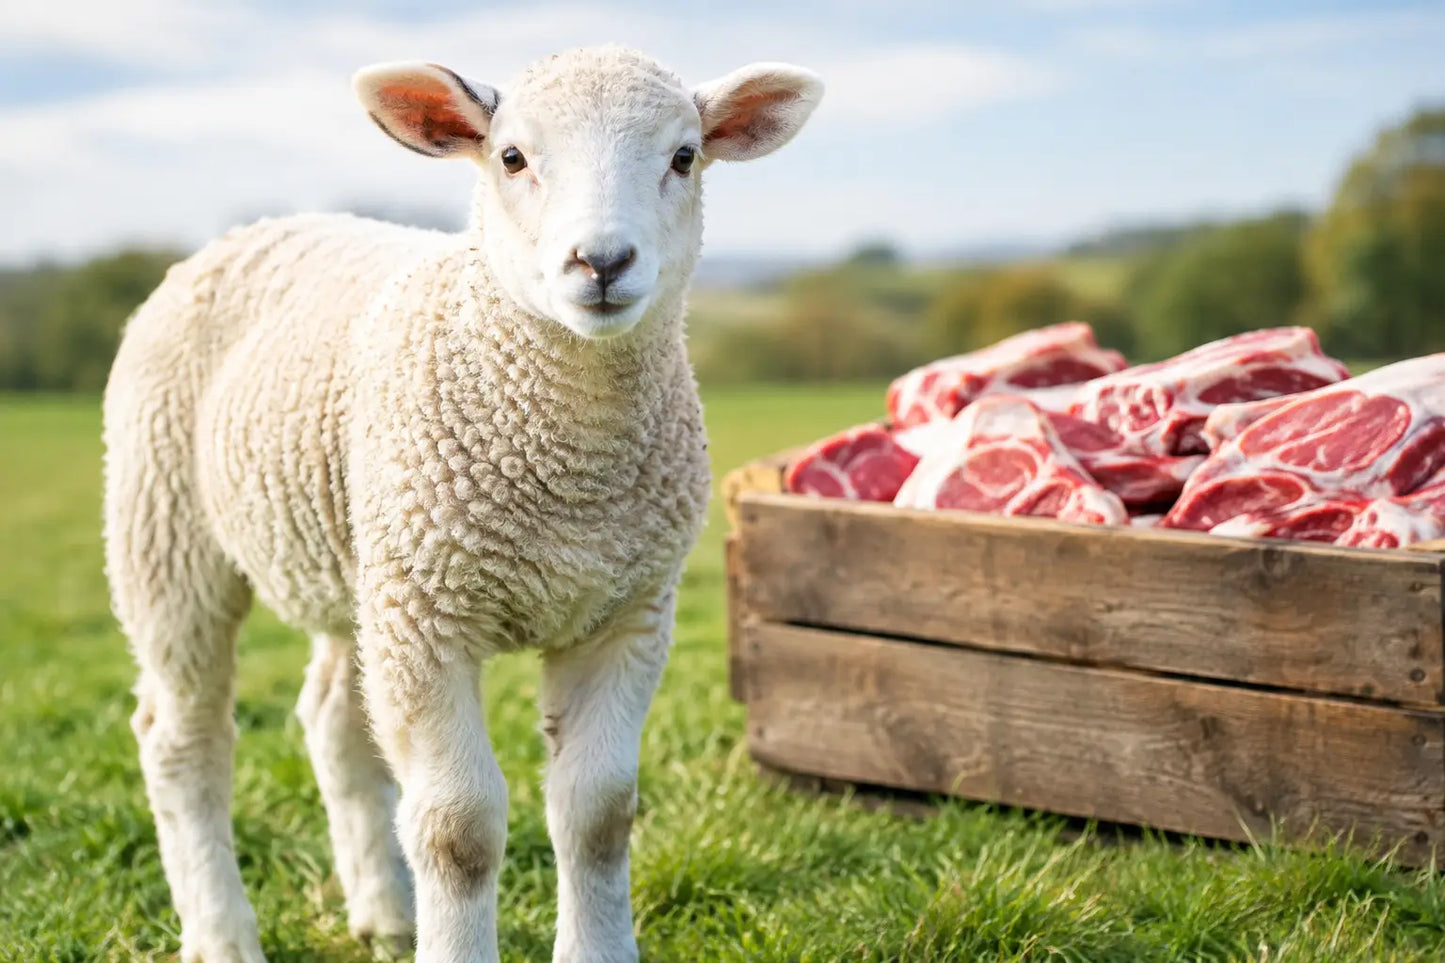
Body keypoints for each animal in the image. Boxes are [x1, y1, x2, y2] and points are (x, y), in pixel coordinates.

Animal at [101, 46, 823, 963]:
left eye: (684, 156)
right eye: (511, 157)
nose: (601, 262)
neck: (571, 473)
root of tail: (257, 226)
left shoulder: (626, 613)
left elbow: (598, 813)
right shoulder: (429, 621)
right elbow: (458, 828)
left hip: (365, 563)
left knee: (333, 719)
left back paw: (385, 911)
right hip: (167, 530)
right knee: (180, 736)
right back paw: (222, 932)